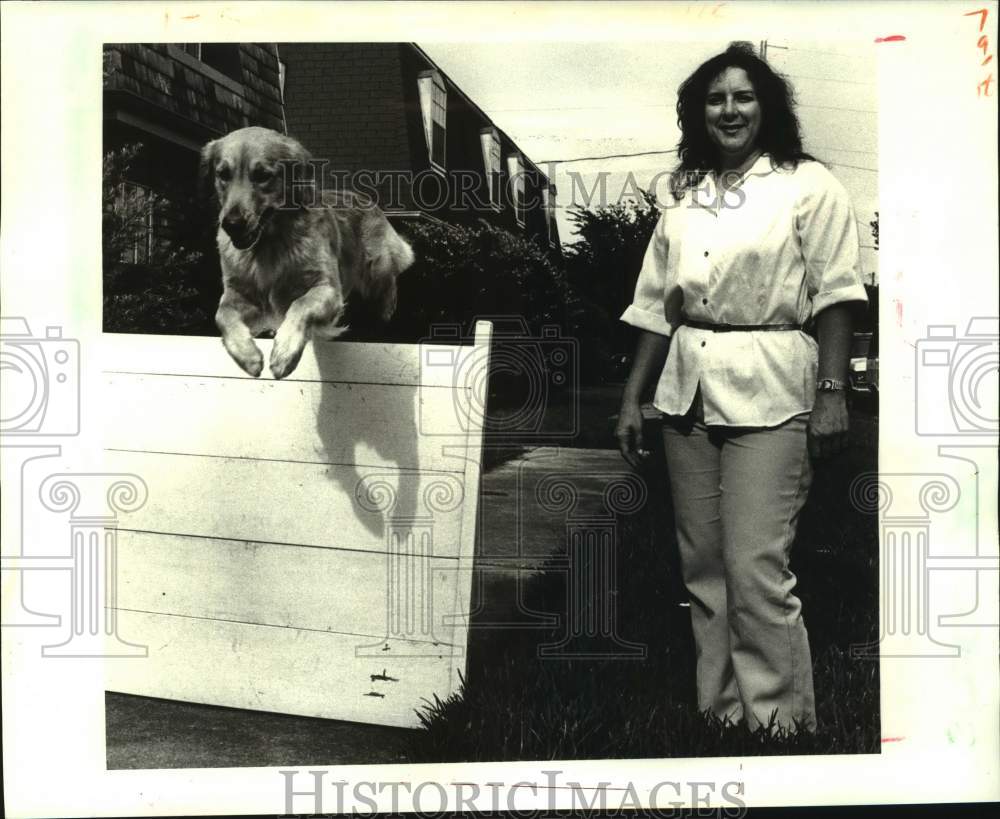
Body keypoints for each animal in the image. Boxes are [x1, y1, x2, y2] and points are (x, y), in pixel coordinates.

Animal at [201, 125, 412, 382]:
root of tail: (365, 198)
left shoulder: (327, 289)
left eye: (262, 175)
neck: (269, 245)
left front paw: (285, 353)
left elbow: (300, 304)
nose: (232, 224)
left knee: (389, 288)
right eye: (223, 174)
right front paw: (247, 356)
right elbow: (222, 315)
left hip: (377, 269)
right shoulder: (238, 294)